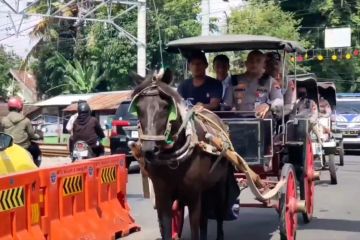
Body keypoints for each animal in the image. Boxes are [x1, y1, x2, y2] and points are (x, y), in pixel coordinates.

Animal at [131, 70, 238, 240]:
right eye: (139, 107)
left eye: (166, 106)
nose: (149, 150)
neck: (173, 160)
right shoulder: (162, 196)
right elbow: (167, 228)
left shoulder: (193, 195)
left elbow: (194, 227)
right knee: (204, 217)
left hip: (219, 183)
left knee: (219, 211)